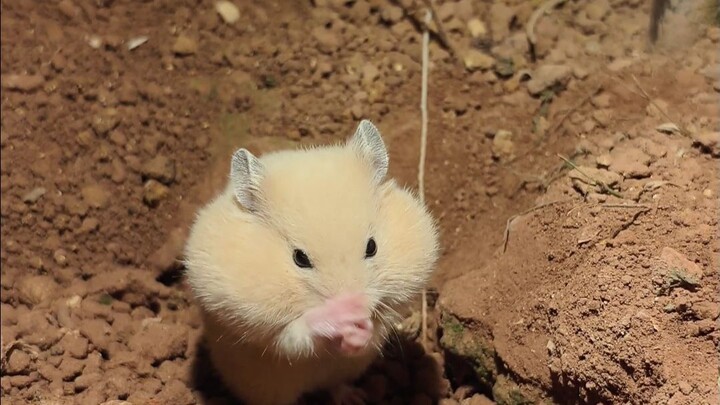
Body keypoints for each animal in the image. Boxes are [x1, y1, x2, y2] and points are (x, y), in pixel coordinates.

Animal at [183, 120, 440, 405]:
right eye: (300, 258)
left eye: (372, 247)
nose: (355, 307)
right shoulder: (258, 327)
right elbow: (296, 333)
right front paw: (339, 323)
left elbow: (379, 321)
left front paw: (358, 334)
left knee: (335, 385)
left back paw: (355, 397)